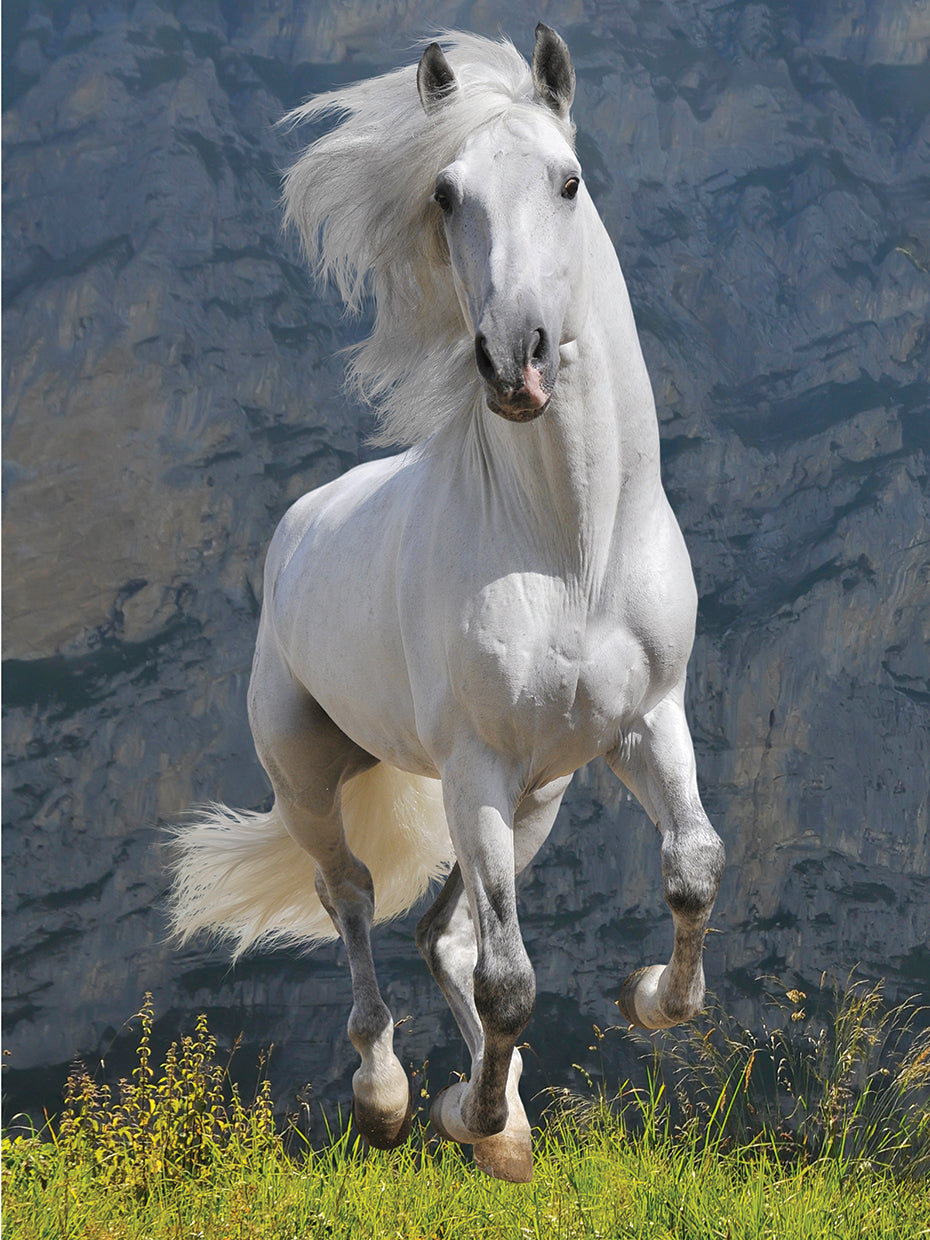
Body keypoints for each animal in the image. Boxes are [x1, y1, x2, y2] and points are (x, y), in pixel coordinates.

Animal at [169, 25, 725, 1183]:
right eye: (445, 192)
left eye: (569, 180)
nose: (514, 361)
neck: (571, 549)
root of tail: (299, 526)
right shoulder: (475, 766)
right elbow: (513, 983)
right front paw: (460, 1113)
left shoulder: (648, 719)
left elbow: (694, 868)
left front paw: (646, 1000)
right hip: (317, 777)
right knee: (355, 902)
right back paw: (390, 1099)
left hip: (537, 798)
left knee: (442, 933)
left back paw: (499, 1123)